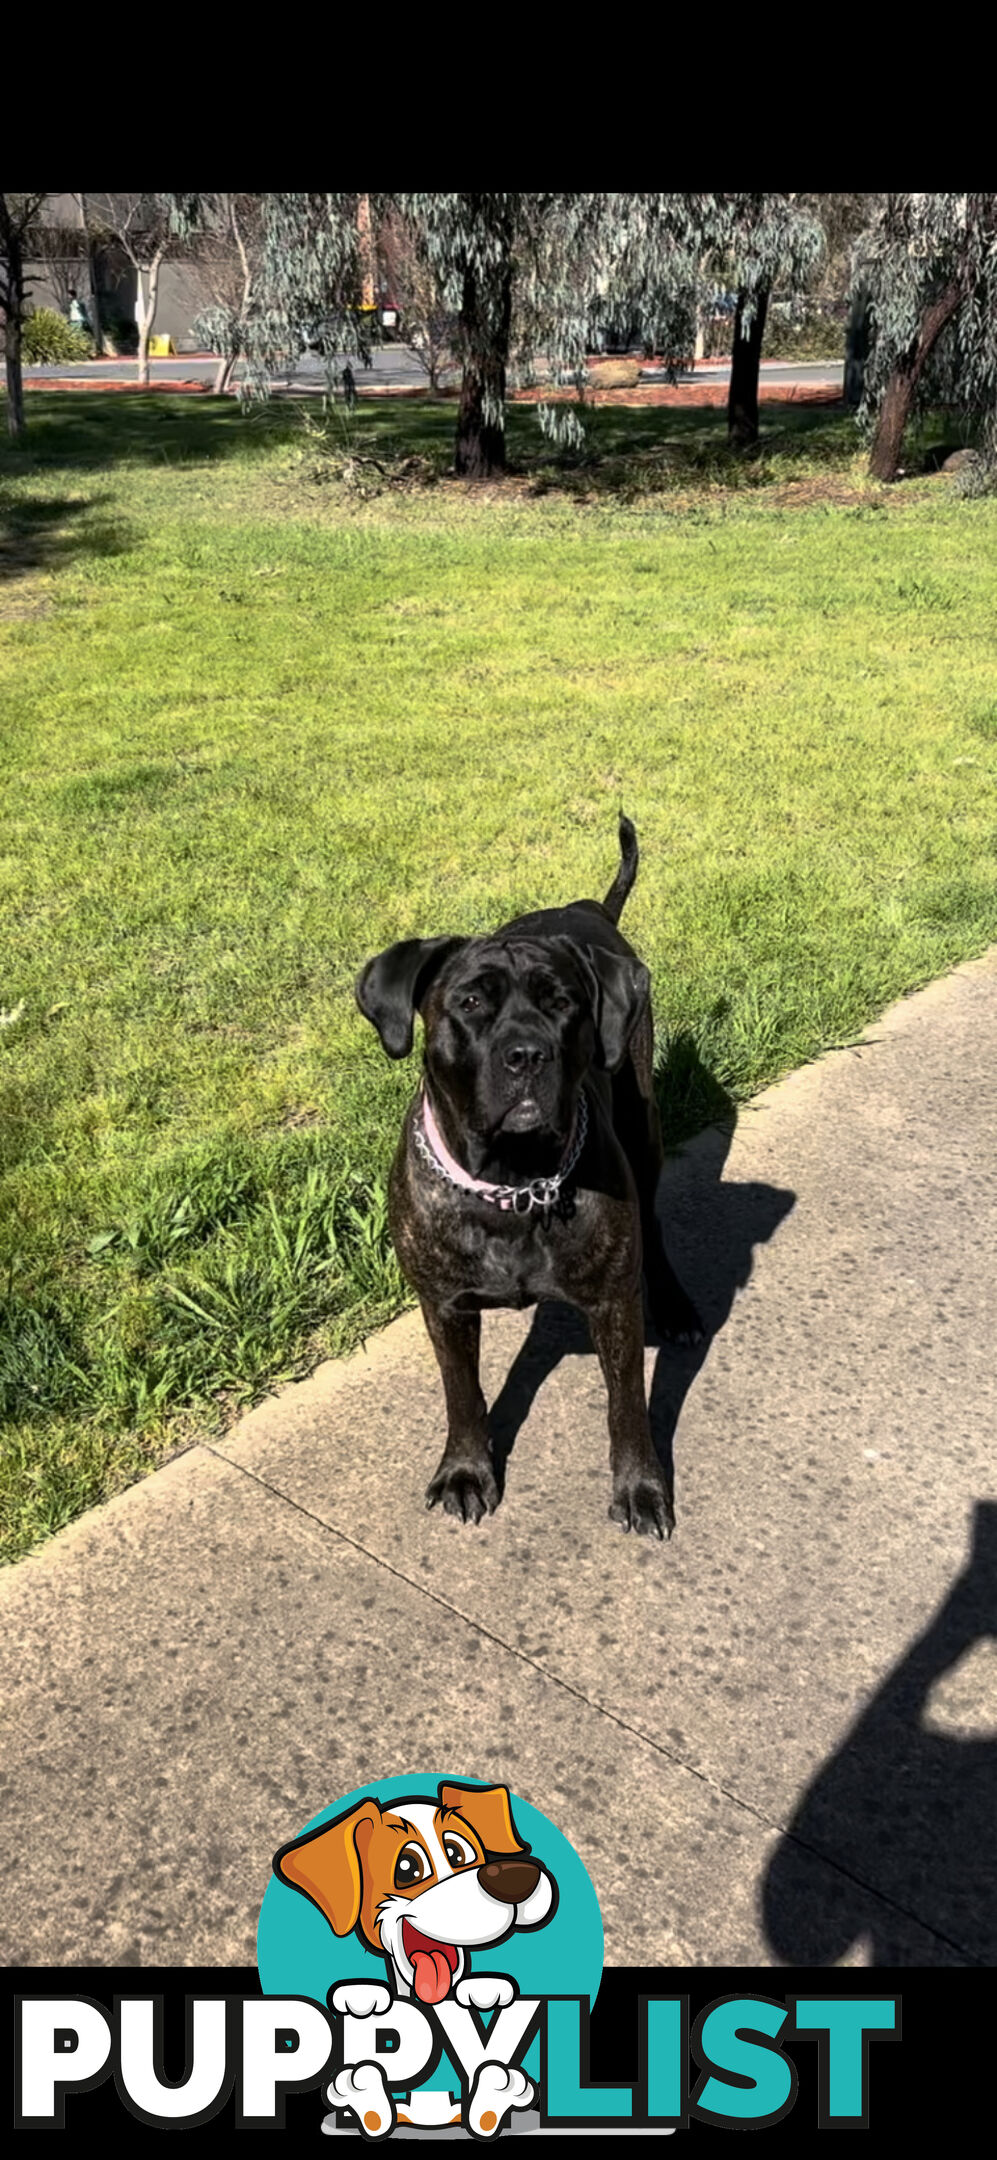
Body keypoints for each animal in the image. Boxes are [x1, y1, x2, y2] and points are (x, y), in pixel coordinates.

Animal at [353, 816, 703, 1546]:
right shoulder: (444, 1306)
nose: (526, 1055)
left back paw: (677, 1308)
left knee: (653, 1226)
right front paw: (466, 1470)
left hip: (644, 1128)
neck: (513, 1183)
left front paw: (640, 1486)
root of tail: (587, 907)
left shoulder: (613, 1306)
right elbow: (462, 1394)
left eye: (562, 1002)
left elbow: (626, 1404)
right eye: (468, 1002)